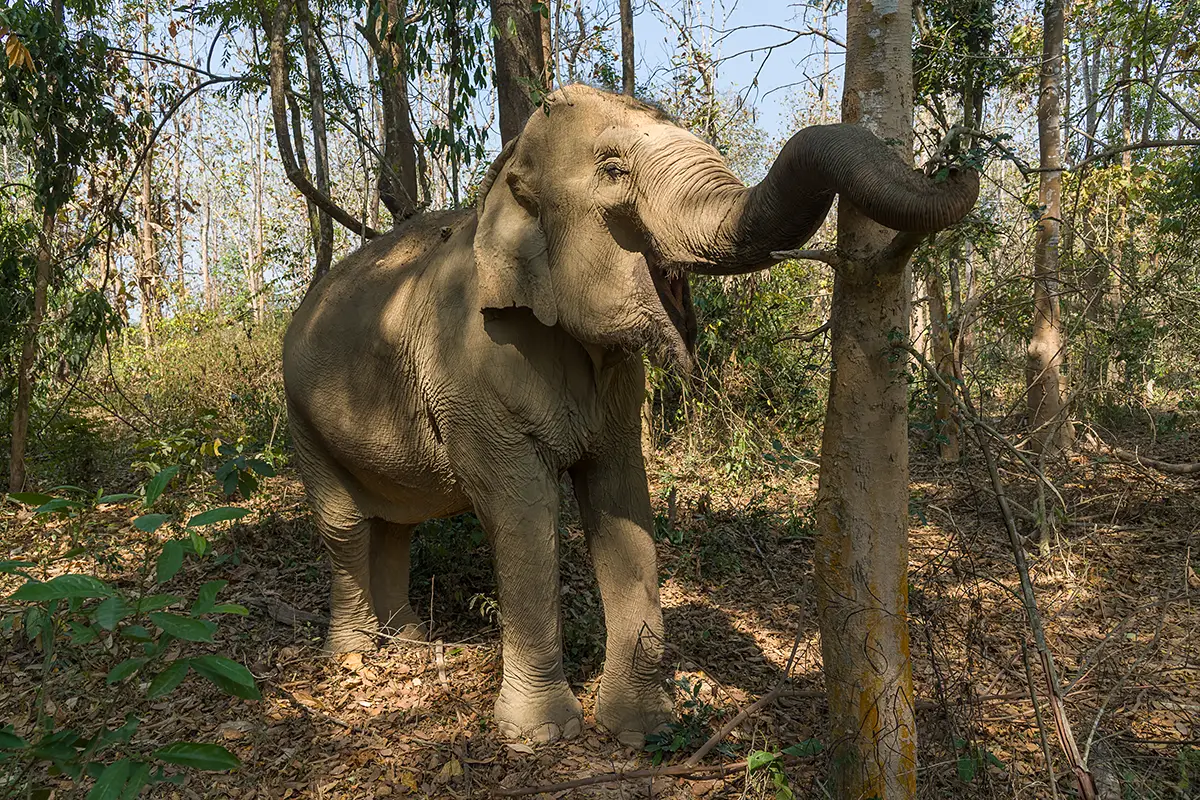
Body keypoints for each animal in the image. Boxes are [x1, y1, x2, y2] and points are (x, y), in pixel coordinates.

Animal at [282, 84, 978, 746]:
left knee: (396, 524)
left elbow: (621, 501)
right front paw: (543, 734)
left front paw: (642, 728)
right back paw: (354, 658)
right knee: (347, 526)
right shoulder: (471, 376)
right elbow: (520, 508)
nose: (957, 162)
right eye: (613, 169)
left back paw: (408, 645)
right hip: (300, 417)